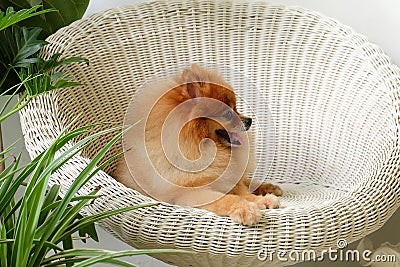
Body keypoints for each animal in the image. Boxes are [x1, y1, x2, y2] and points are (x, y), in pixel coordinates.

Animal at [112, 65, 282, 226]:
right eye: (228, 114)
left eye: (236, 108)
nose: (249, 120)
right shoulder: (191, 193)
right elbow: (227, 198)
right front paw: (246, 209)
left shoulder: (228, 179)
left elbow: (245, 192)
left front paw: (262, 200)